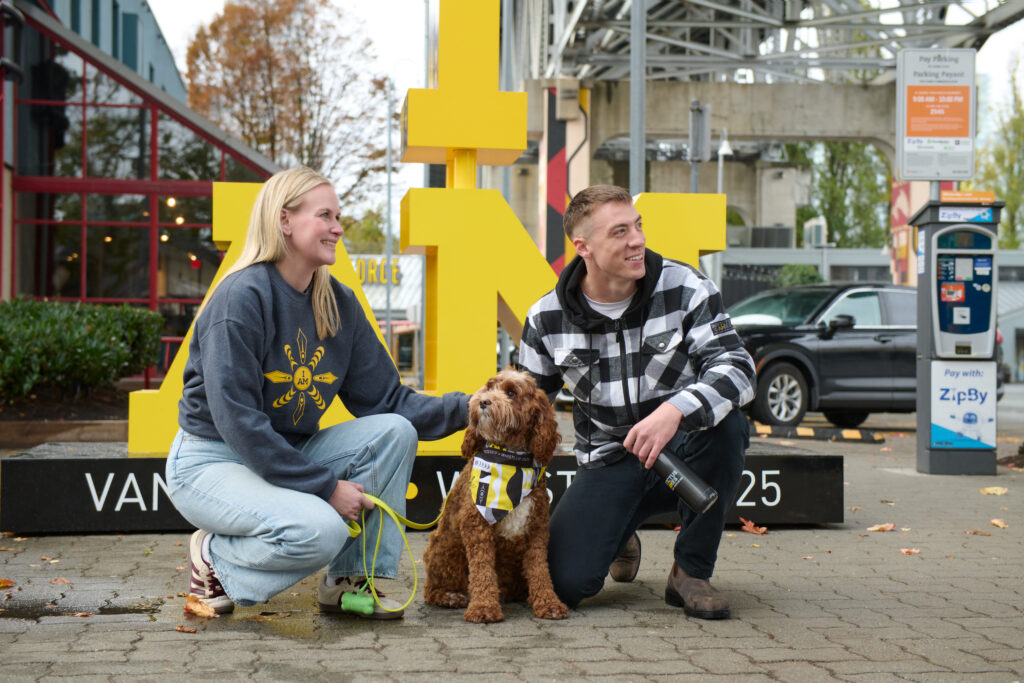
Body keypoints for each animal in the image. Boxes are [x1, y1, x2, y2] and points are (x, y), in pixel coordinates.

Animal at [421, 370, 569, 622]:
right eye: (489, 387)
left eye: (511, 392)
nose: (483, 401)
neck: (510, 459)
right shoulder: (476, 526)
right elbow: (482, 570)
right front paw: (483, 607)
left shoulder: (537, 528)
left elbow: (539, 569)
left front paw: (549, 603)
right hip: (446, 548)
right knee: (431, 589)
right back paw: (450, 596)